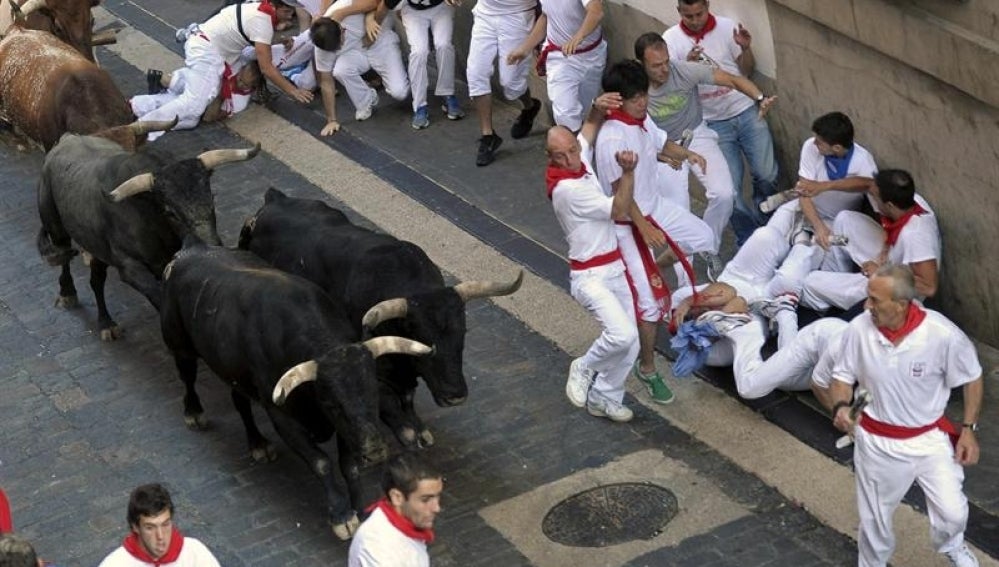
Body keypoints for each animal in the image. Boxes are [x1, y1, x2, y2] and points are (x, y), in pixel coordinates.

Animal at [161, 241, 434, 540]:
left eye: (374, 392)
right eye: (333, 403)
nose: (374, 451)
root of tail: (191, 249)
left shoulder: (344, 427)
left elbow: (349, 466)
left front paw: (359, 509)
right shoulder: (284, 418)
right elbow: (321, 462)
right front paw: (341, 515)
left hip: (234, 372)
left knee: (240, 402)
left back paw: (258, 443)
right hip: (180, 344)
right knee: (187, 377)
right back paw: (194, 413)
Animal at [240, 190, 524, 448]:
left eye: (463, 333)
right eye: (423, 337)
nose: (455, 396)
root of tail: (274, 199)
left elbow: (408, 398)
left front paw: (420, 428)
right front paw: (408, 432)